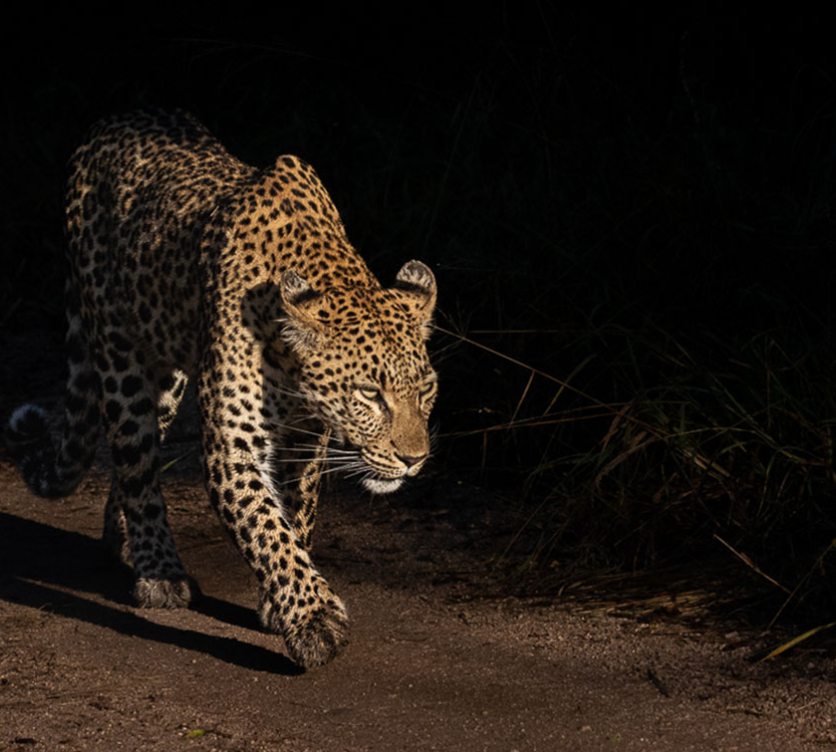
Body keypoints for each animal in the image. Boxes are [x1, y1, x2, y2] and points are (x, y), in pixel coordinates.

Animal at [6, 108, 438, 669]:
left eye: (425, 389)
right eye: (369, 394)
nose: (414, 459)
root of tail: (121, 116)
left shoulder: (306, 440)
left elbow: (296, 515)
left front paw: (281, 603)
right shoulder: (233, 445)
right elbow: (266, 528)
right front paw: (314, 619)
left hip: (167, 376)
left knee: (133, 459)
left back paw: (122, 541)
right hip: (119, 353)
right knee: (135, 463)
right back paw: (158, 570)